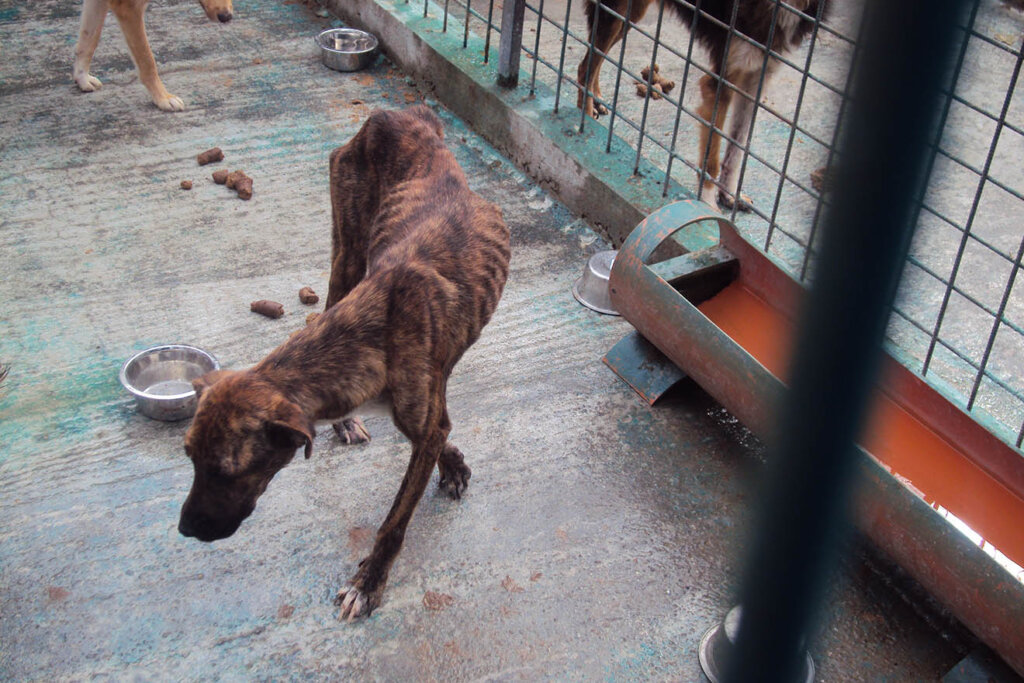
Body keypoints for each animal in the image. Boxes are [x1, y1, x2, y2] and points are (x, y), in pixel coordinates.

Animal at [180, 105, 512, 618]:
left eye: (226, 472)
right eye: (190, 458)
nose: (186, 529)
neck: (371, 338)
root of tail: (397, 114)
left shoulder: (424, 414)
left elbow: (396, 517)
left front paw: (368, 582)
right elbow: (438, 435)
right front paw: (452, 463)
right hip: (349, 250)